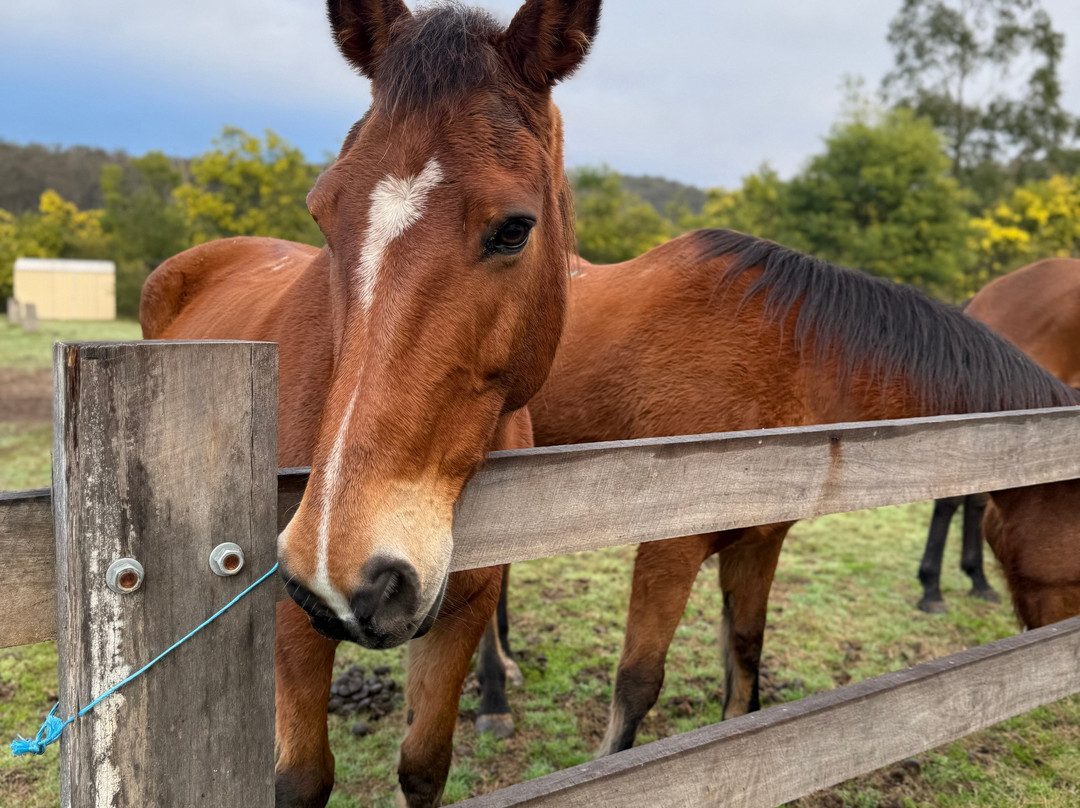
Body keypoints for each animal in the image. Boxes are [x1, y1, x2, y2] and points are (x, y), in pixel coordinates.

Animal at [139, 1, 602, 805]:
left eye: (515, 228)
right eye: (323, 214)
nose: (342, 569)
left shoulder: (461, 610)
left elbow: (424, 762)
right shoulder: (293, 621)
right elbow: (299, 778)